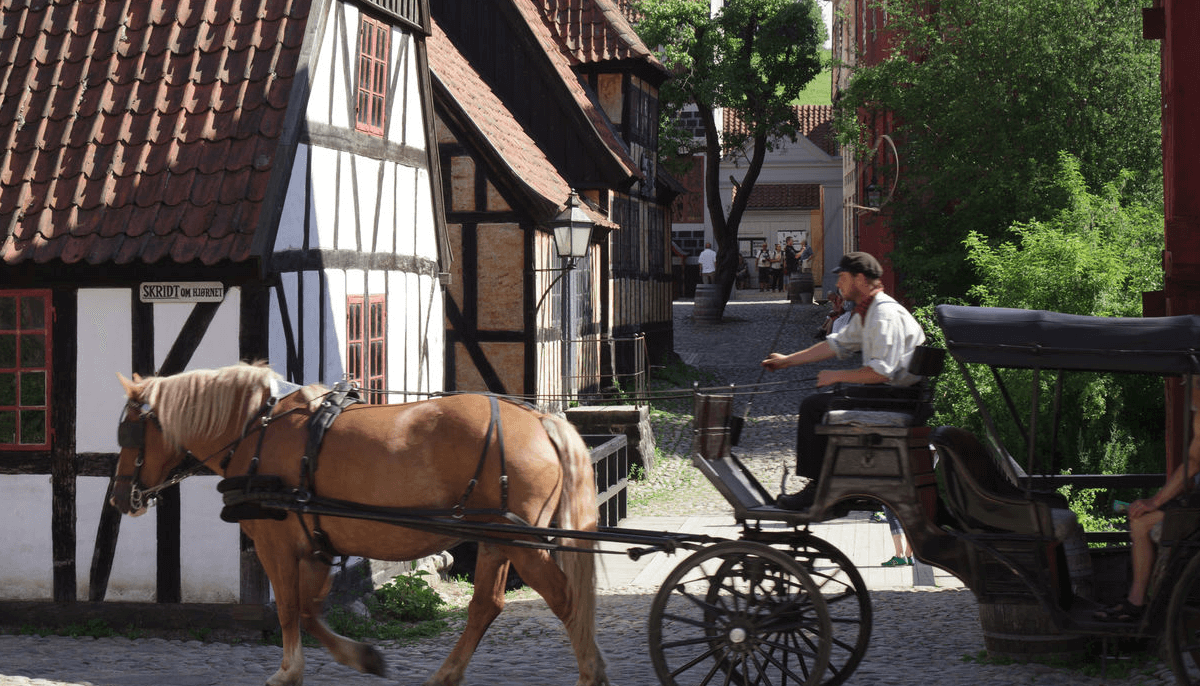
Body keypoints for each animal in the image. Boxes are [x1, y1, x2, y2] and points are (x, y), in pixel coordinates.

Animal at [110, 362, 609, 681]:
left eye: (130, 433)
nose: (119, 497)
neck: (258, 430)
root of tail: (539, 418)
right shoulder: (315, 546)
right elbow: (308, 613)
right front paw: (364, 657)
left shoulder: (276, 545)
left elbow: (289, 609)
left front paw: (288, 672)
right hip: (494, 539)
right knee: (486, 605)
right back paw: (444, 676)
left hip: (521, 543)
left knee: (566, 599)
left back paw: (591, 673)